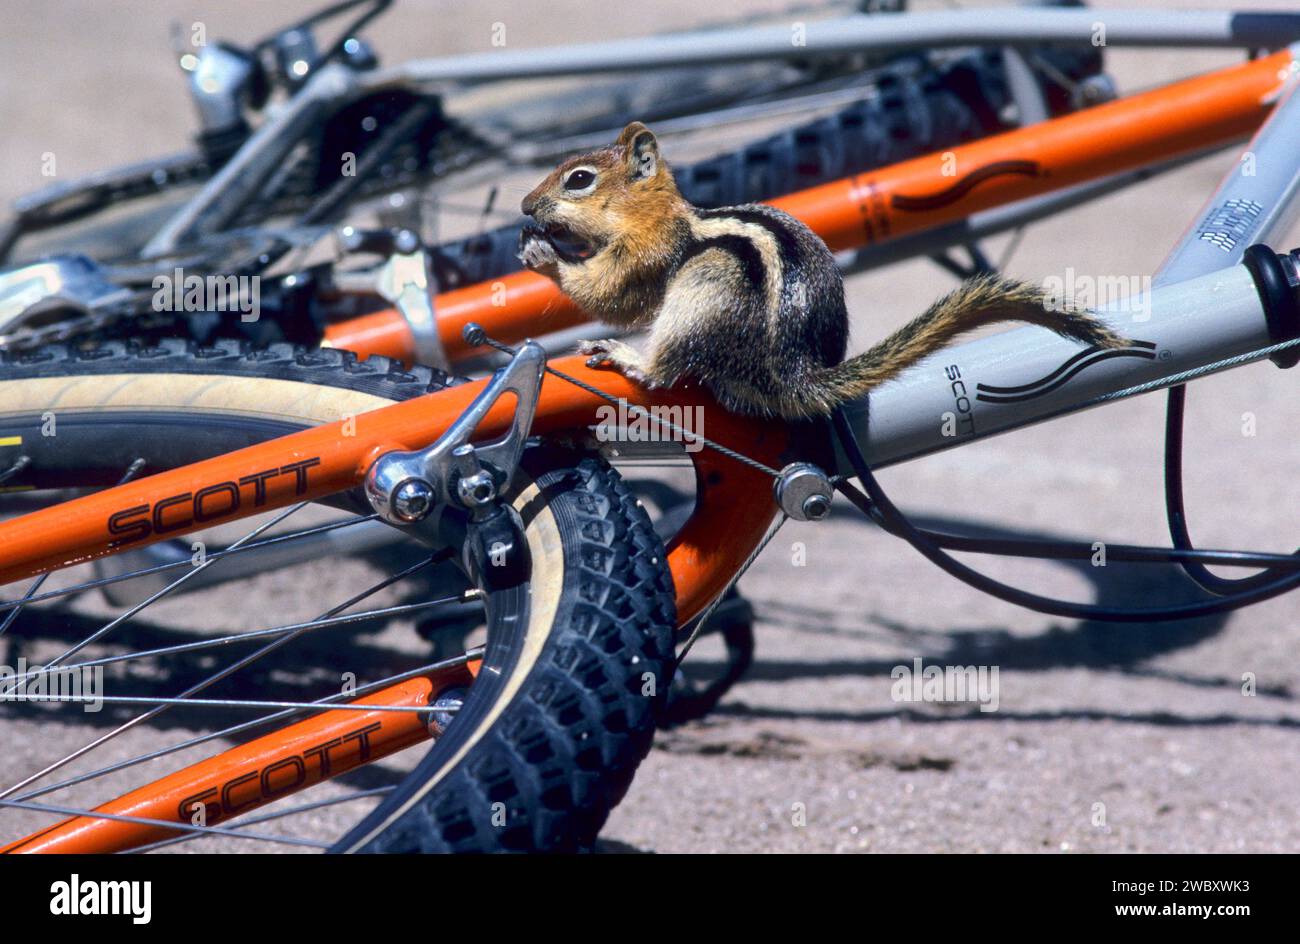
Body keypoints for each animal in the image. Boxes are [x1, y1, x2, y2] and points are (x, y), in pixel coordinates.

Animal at [518, 121, 1124, 420]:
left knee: (665, 371)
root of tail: (793, 373)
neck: (661, 212)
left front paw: (546, 255)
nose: (525, 205)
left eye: (578, 179)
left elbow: (612, 295)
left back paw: (629, 358)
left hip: (707, 287)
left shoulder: (649, 252)